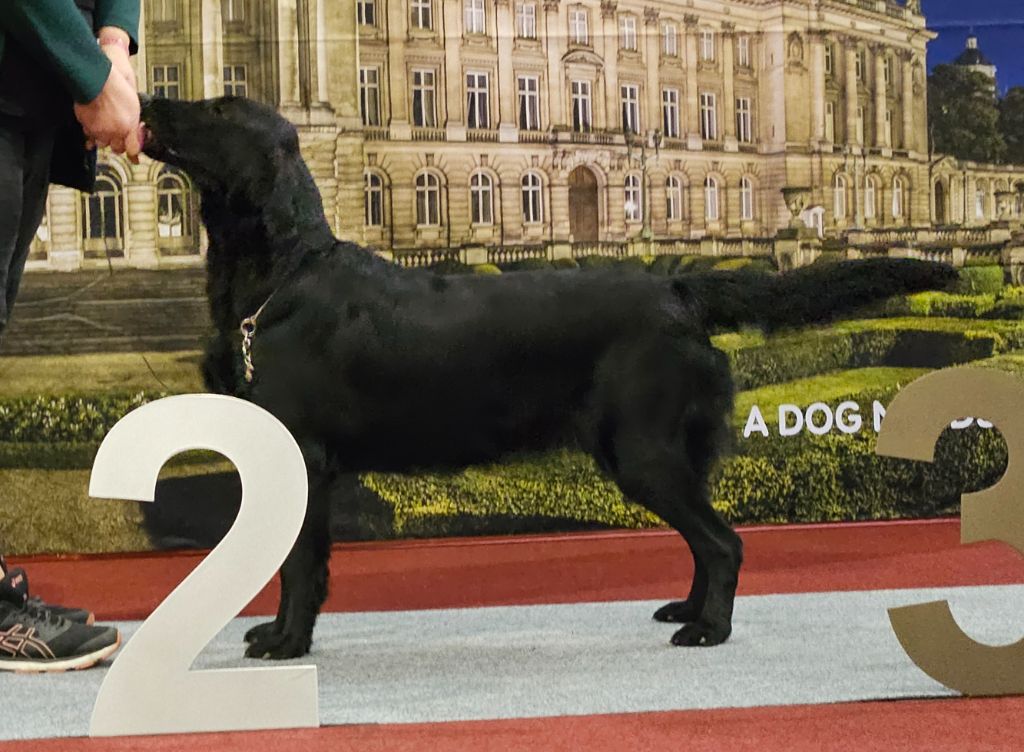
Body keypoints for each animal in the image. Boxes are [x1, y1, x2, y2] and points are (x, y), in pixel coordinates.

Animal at [140, 95, 958, 659]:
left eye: (219, 107)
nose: (145, 94)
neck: (280, 276)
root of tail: (677, 286)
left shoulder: (303, 454)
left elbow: (300, 565)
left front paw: (287, 644)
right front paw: (277, 637)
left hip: (643, 450)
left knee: (724, 542)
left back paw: (709, 631)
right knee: (706, 541)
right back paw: (688, 611)